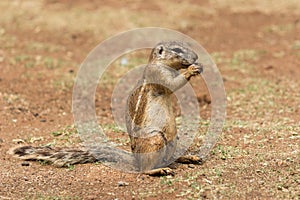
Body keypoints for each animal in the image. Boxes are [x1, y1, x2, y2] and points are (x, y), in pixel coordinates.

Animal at [10, 41, 205, 176]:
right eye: (177, 50)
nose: (196, 57)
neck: (161, 63)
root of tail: (134, 158)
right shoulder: (158, 74)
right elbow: (173, 83)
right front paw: (191, 70)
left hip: (173, 139)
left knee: (169, 158)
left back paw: (188, 157)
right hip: (155, 140)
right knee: (146, 168)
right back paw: (157, 170)